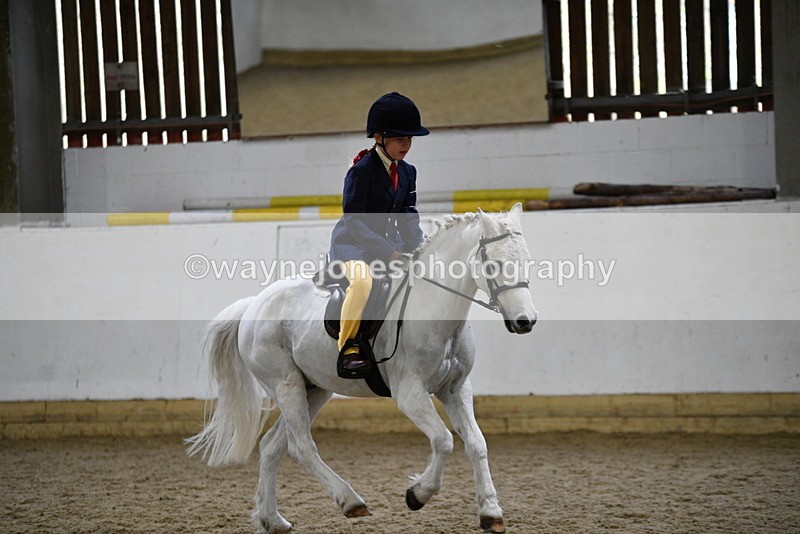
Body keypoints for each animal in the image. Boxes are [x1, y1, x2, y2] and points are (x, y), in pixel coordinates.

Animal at [186, 203, 538, 534]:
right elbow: (443, 440)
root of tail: (253, 305)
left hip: (313, 389)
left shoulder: (456, 388)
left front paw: (491, 512)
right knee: (301, 446)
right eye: (494, 265)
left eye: (527, 262)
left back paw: (272, 520)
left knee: (273, 446)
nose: (526, 322)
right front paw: (417, 494)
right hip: (285, 385)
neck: (434, 309)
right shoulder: (410, 393)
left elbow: (477, 444)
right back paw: (351, 501)